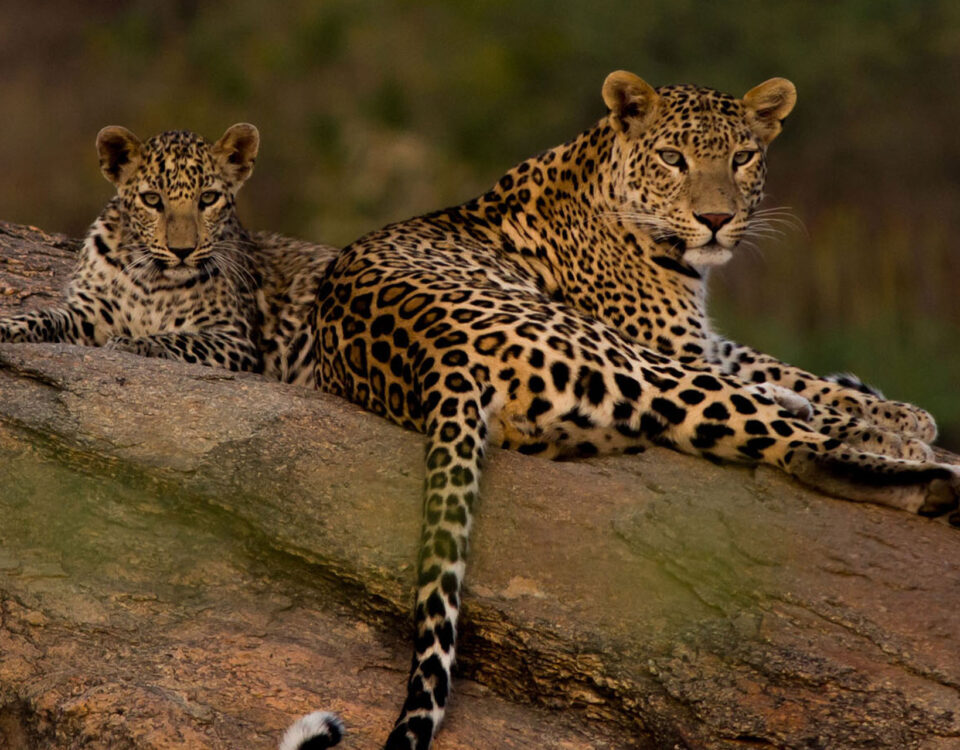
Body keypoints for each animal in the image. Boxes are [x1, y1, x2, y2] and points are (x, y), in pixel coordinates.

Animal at [0, 123, 338, 375]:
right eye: (152, 200)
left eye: (208, 198)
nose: (182, 250)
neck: (154, 281)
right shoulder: (90, 313)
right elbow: (44, 316)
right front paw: (7, 326)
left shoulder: (234, 338)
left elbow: (179, 339)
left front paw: (132, 343)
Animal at [275, 71, 959, 750]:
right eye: (673, 159)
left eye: (742, 158)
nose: (715, 219)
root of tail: (434, 355)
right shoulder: (674, 345)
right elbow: (781, 383)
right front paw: (899, 430)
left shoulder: (704, 342)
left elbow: (782, 367)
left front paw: (897, 411)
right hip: (623, 354)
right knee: (794, 448)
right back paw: (936, 477)